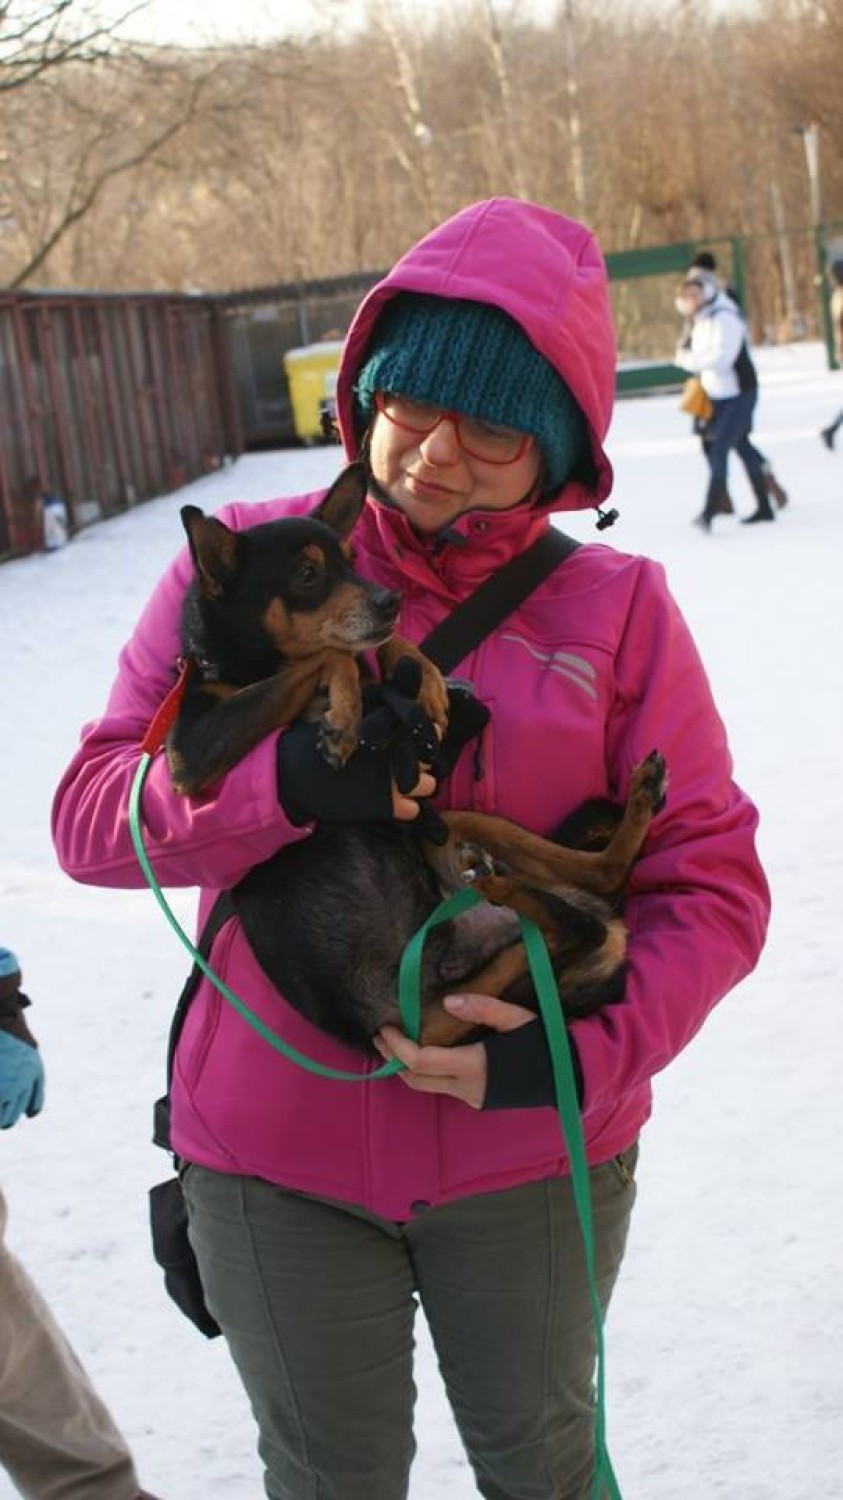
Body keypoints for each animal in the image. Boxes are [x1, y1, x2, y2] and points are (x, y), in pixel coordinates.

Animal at [167, 462, 666, 1050]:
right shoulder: (190, 753)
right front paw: (345, 716)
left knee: (599, 881)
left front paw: (419, 678)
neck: (255, 660)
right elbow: (332, 654)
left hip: (461, 846)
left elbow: (366, 651)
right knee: (579, 922)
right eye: (307, 575)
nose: (390, 600)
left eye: (351, 560)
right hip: (425, 1021)